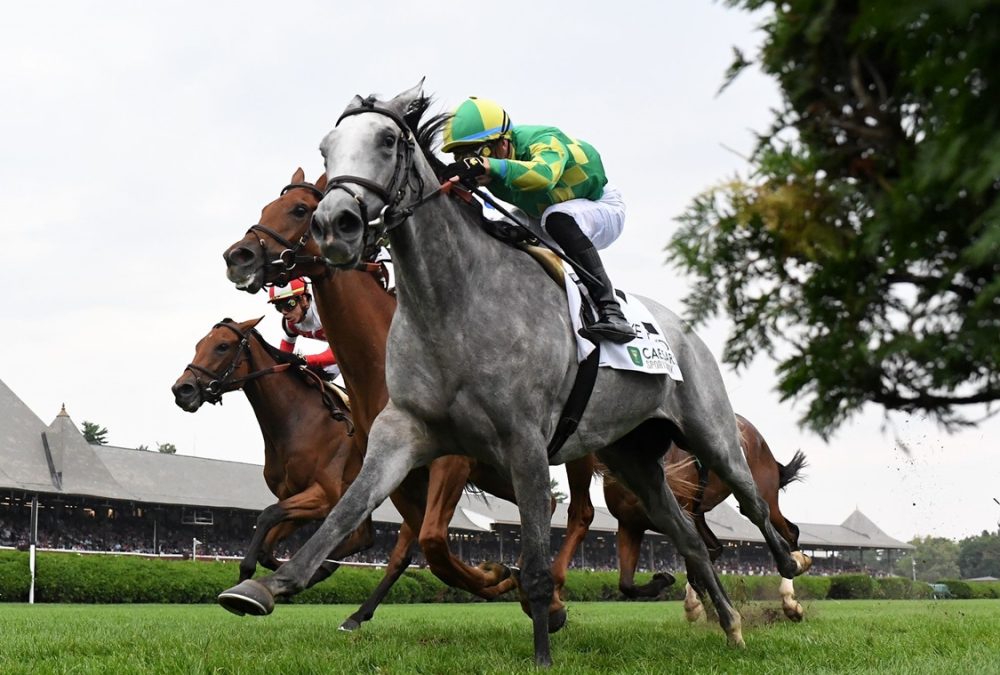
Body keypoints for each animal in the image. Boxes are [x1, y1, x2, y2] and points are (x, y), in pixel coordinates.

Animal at [172, 320, 368, 584]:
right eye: (199, 344)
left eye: (222, 346)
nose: (182, 389)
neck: (299, 420)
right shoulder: (294, 495)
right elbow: (267, 549)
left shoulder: (324, 494)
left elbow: (267, 514)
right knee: (363, 538)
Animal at [222, 170, 592, 632]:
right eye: (265, 208)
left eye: (301, 210)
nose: (238, 255)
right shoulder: (397, 470)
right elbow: (420, 544)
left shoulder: (449, 462)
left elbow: (432, 542)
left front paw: (498, 576)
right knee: (544, 504)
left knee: (581, 511)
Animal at [600, 418, 812, 624]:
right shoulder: (629, 524)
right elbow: (626, 584)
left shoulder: (681, 517)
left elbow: (695, 568)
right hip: (700, 514)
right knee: (715, 549)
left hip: (764, 494)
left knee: (788, 532)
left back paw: (791, 596)